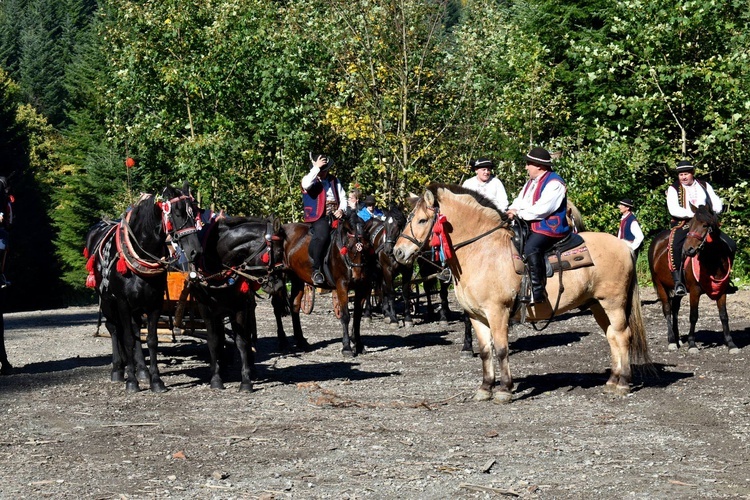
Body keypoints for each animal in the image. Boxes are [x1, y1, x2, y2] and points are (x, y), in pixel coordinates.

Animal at [84, 182, 203, 392]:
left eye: (195, 212)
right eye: (178, 213)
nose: (195, 251)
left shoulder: (154, 302)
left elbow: (151, 339)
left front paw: (156, 380)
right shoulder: (122, 302)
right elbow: (128, 338)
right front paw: (131, 381)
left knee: (135, 329)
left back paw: (141, 370)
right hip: (107, 300)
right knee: (114, 328)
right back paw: (118, 369)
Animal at [191, 213, 288, 392]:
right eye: (278, 251)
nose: (278, 285)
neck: (218, 272)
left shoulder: (240, 309)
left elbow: (242, 341)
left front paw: (246, 381)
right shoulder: (207, 311)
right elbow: (213, 341)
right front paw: (216, 378)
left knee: (248, 335)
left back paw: (251, 367)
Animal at [276, 213, 374, 358]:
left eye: (366, 247)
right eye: (349, 247)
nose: (357, 276)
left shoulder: (362, 288)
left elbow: (357, 317)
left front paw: (359, 345)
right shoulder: (342, 286)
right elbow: (345, 316)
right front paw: (346, 347)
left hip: (297, 279)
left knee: (295, 305)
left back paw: (301, 341)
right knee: (277, 307)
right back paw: (282, 341)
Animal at [394, 184, 652, 402]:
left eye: (422, 220)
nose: (398, 252)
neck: (482, 251)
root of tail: (624, 246)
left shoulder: (497, 312)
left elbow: (501, 350)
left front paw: (504, 390)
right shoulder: (477, 316)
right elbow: (485, 352)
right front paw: (485, 388)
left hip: (613, 303)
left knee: (623, 336)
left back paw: (623, 383)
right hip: (597, 304)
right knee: (612, 337)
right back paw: (612, 381)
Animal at [648, 203, 740, 352]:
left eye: (705, 225)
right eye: (690, 226)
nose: (688, 249)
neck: (712, 261)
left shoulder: (722, 290)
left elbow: (724, 316)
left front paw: (731, 344)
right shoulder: (695, 291)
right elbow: (693, 316)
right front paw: (692, 344)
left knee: (675, 309)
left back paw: (678, 339)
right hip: (659, 284)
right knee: (667, 309)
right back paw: (672, 341)